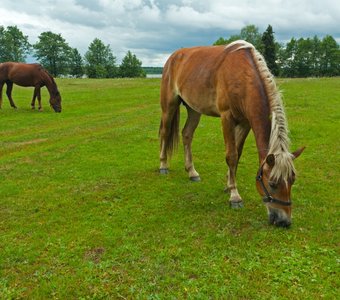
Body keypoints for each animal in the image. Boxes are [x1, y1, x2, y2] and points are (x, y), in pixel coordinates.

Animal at [159, 40, 306, 227]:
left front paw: (229, 183)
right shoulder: (226, 117)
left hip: (194, 109)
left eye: (292, 180)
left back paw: (192, 172)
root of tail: (173, 57)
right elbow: (231, 155)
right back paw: (163, 165)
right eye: (272, 183)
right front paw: (235, 196)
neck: (242, 75)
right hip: (169, 105)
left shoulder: (245, 122)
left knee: (187, 134)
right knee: (165, 132)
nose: (284, 221)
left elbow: (238, 152)